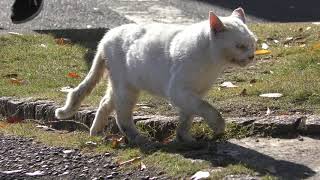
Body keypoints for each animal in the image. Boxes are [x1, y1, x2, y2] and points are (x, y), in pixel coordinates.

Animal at [53, 7, 256, 145]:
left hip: (121, 87)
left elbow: (188, 116)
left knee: (104, 103)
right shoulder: (180, 92)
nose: (252, 56)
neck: (213, 64)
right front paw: (218, 127)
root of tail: (106, 37)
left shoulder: (194, 94)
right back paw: (138, 138)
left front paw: (184, 138)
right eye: (240, 46)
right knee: (121, 116)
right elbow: (208, 109)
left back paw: (95, 132)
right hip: (126, 90)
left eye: (253, 43)